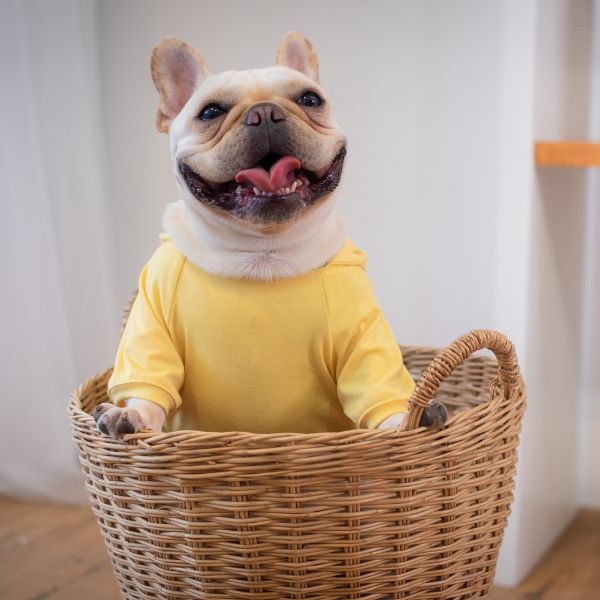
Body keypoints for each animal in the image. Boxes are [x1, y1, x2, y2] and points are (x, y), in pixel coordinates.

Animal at [95, 31, 446, 436]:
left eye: (310, 99)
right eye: (210, 112)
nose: (264, 112)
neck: (263, 251)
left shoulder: (363, 334)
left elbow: (377, 387)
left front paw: (404, 420)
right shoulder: (151, 319)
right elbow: (148, 387)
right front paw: (132, 415)